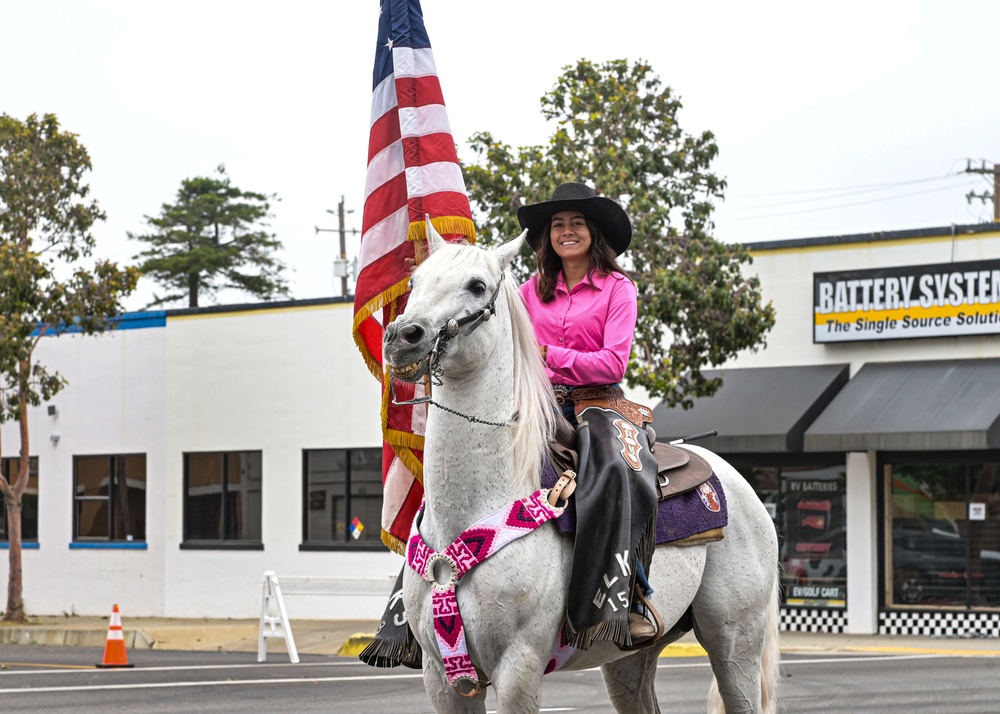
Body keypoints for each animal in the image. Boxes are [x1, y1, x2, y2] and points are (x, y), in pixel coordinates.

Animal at [382, 224, 780, 712]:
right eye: (415, 281)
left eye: (476, 285)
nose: (403, 336)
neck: (474, 505)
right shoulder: (441, 676)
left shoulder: (519, 667)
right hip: (631, 656)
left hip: (735, 639)